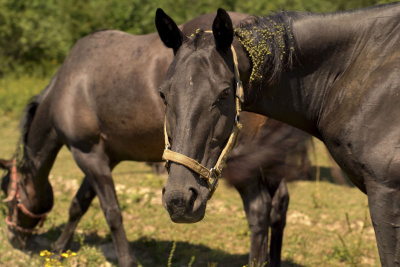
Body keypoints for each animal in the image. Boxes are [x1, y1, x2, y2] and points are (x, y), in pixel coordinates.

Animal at [0, 11, 310, 267]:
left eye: (6, 194)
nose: (14, 237)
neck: (68, 86)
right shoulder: (103, 157)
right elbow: (79, 204)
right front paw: (58, 248)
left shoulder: (86, 154)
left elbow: (111, 212)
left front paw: (125, 260)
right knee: (279, 206)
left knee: (259, 212)